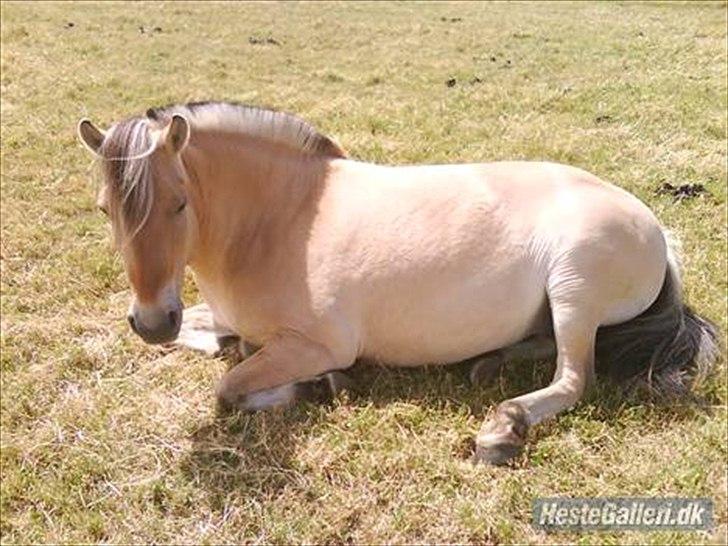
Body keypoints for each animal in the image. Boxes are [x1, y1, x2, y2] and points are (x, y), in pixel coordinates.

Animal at [78, 101, 716, 464]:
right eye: (106, 209)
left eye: (180, 204)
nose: (151, 322)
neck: (280, 221)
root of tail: (657, 229)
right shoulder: (214, 321)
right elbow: (216, 343)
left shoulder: (319, 344)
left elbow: (229, 386)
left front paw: (318, 386)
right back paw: (489, 364)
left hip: (573, 287)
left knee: (574, 378)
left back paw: (502, 427)